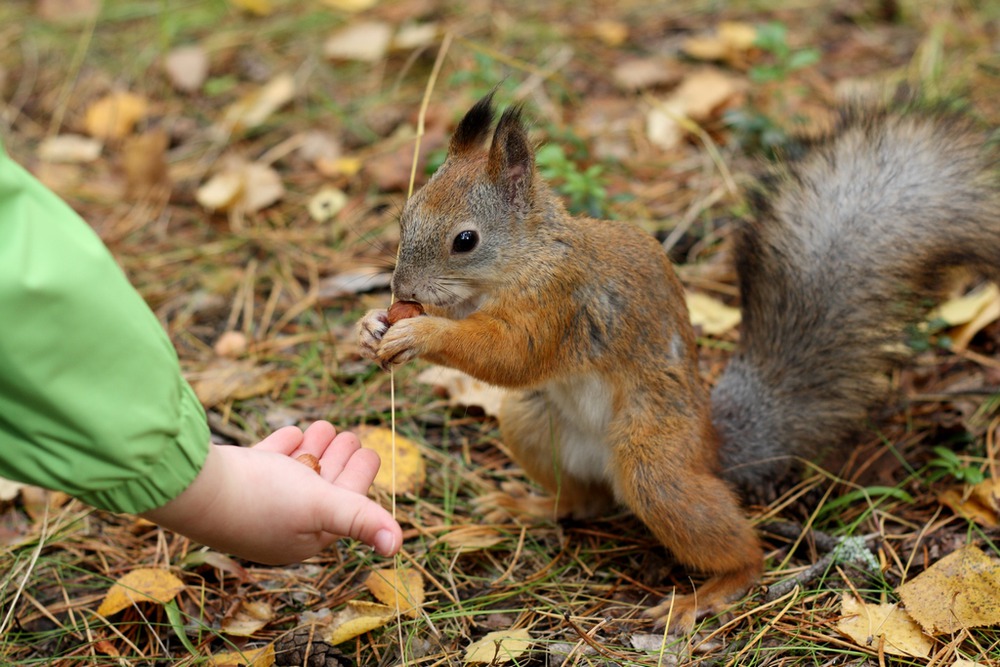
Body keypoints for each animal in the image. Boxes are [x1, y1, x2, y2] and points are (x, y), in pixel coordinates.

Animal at [356, 92, 996, 632]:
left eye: (465, 240)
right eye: (405, 216)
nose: (401, 288)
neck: (526, 257)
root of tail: (711, 448)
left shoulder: (562, 302)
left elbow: (511, 353)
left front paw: (422, 332)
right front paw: (369, 328)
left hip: (655, 461)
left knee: (736, 546)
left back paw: (709, 593)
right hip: (532, 421)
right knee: (584, 502)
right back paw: (525, 506)